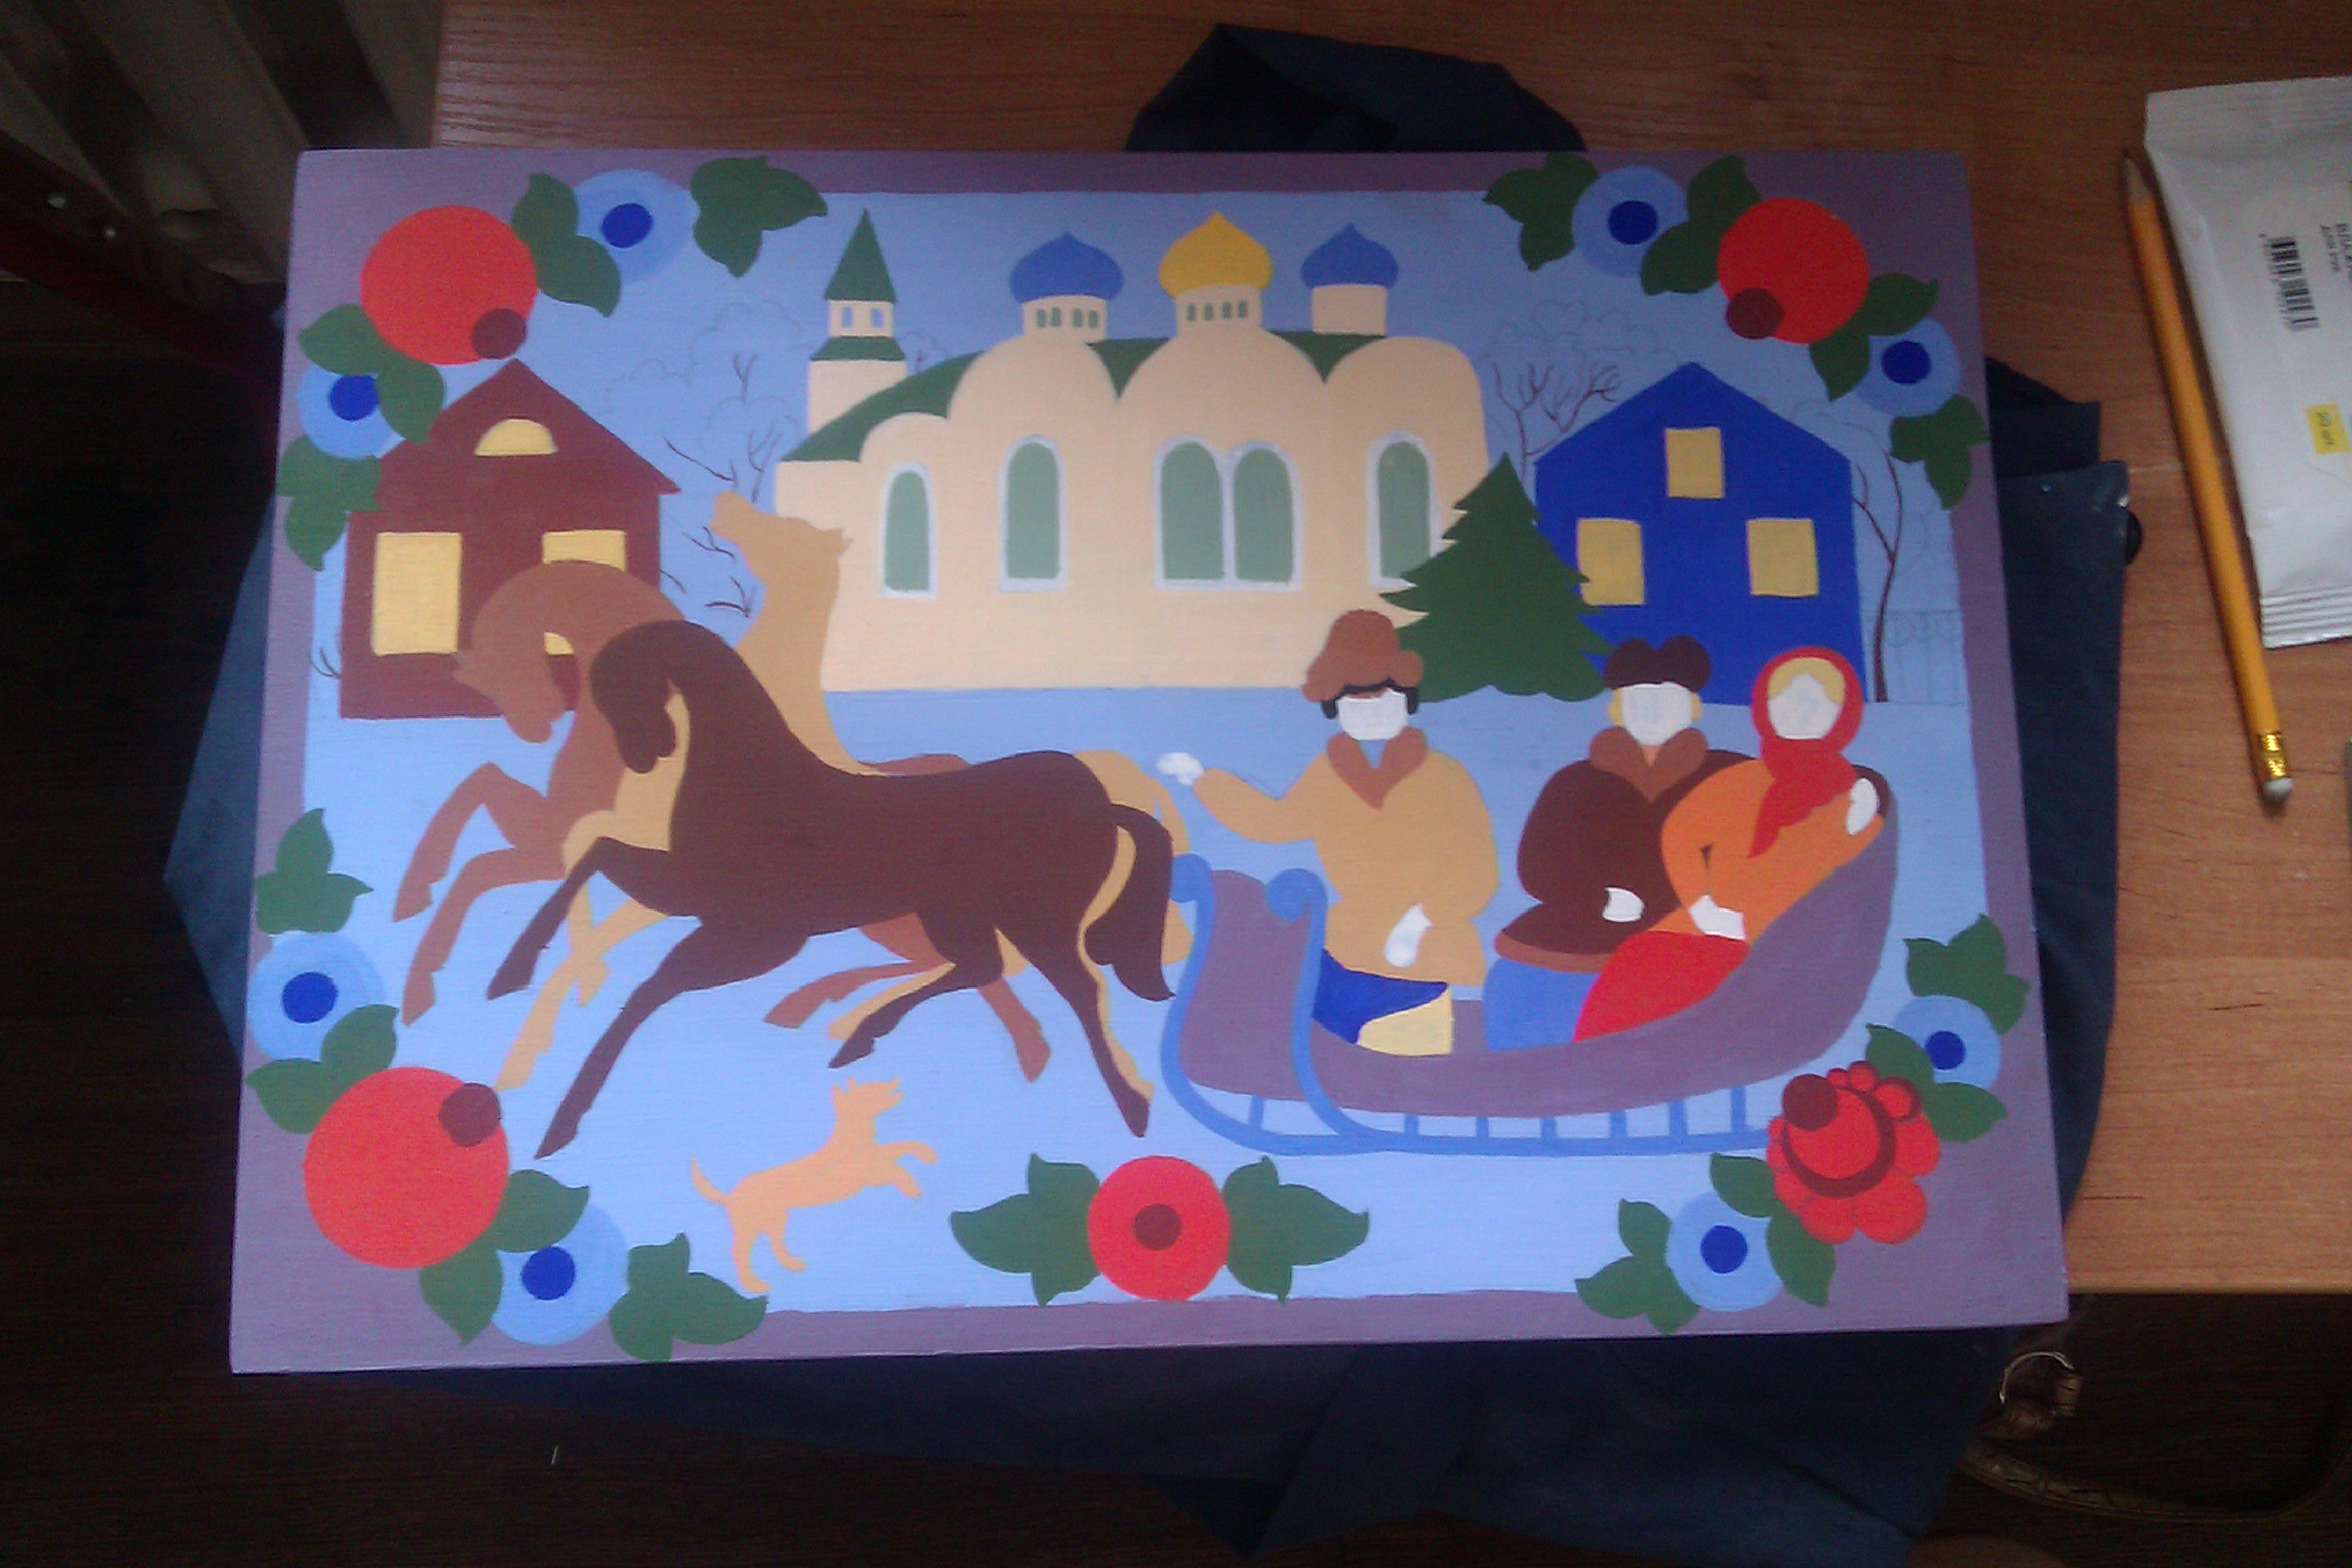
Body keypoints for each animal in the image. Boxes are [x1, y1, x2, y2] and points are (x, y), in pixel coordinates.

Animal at [491, 619, 1174, 1157]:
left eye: (625, 682)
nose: (643, 756)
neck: (754, 787)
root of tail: (1102, 804)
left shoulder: (756, 934)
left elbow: (647, 986)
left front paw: (562, 1120)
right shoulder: (698, 898)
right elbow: (599, 854)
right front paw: (510, 975)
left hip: (1039, 920)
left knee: (1080, 989)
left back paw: (1133, 1109)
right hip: (955, 912)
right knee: (981, 967)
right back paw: (861, 1038)